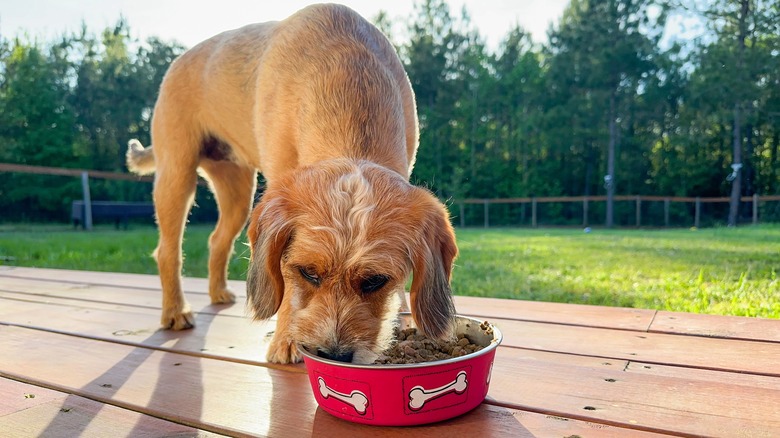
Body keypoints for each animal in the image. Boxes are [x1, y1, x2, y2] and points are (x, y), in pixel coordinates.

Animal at [125, 3, 460, 364]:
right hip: (177, 175)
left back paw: (218, 292)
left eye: (375, 281)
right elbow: (284, 281)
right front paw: (285, 340)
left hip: (237, 193)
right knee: (167, 250)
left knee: (217, 240)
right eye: (308, 273)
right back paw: (175, 310)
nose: (334, 353)